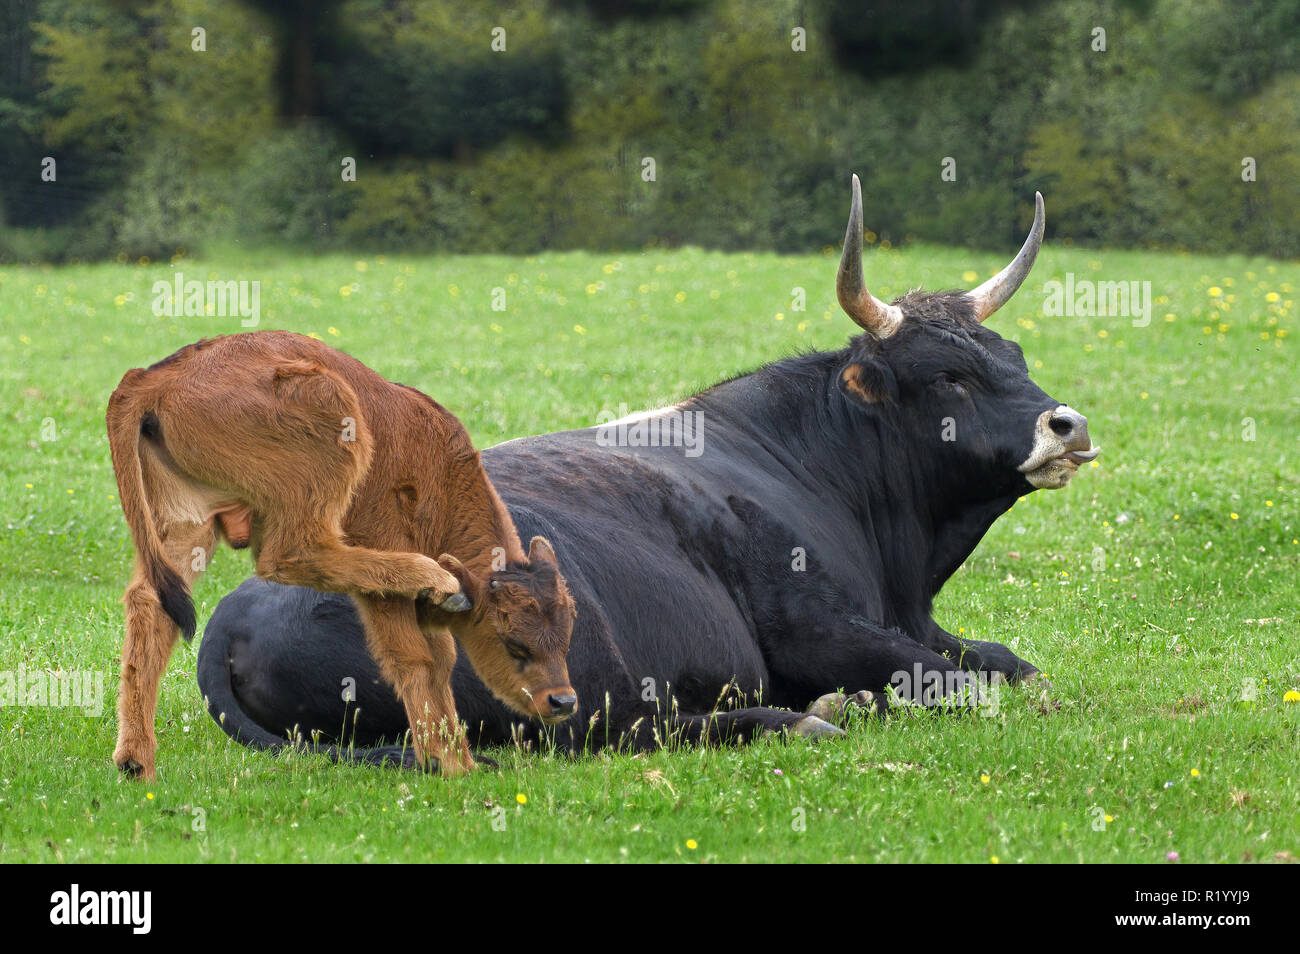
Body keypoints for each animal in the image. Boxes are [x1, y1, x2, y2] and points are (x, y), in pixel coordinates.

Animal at [109, 332, 577, 779]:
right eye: (513, 643)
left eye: (566, 635)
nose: (563, 701)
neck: (438, 476)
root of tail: (155, 376)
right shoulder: (383, 560)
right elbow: (415, 657)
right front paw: (450, 764)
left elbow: (441, 657)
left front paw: (457, 760)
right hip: (328, 431)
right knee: (290, 553)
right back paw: (432, 576)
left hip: (188, 524)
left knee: (150, 604)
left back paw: (137, 763)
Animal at [197, 183, 1102, 774]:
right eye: (949, 377)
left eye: (1013, 355)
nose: (1068, 425)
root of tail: (233, 615)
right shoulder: (815, 626)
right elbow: (964, 686)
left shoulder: (910, 621)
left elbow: (1008, 664)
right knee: (608, 731)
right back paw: (805, 718)